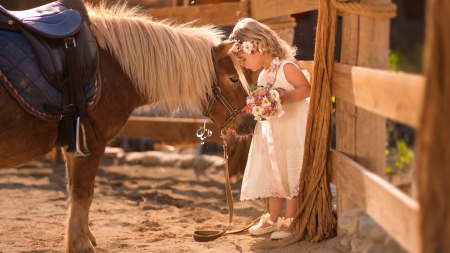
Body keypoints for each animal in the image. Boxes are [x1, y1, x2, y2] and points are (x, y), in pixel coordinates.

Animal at [0, 2, 253, 253]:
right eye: (233, 78)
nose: (250, 121)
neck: (112, 66)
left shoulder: (73, 146)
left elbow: (74, 189)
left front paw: (83, 236)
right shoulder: (92, 143)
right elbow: (83, 191)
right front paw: (81, 243)